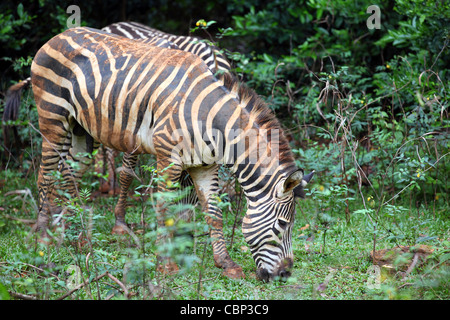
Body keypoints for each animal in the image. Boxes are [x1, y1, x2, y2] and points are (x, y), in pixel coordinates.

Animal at [12, 27, 314, 282]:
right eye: (283, 224)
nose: (285, 275)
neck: (210, 121)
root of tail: (59, 35)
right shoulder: (168, 159)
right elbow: (164, 209)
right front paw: (165, 264)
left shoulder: (205, 166)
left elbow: (214, 212)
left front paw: (226, 264)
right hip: (52, 119)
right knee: (45, 176)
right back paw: (42, 238)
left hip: (80, 130)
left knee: (68, 174)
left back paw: (79, 236)